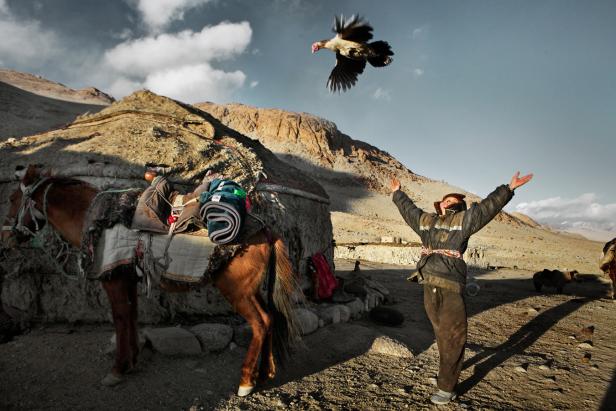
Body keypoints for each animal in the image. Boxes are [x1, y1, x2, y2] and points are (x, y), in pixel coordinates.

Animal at [0, 166, 300, 398]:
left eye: (13, 198)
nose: (6, 238)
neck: (95, 219)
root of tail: (266, 229)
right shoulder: (129, 280)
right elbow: (132, 316)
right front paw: (132, 360)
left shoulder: (113, 281)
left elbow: (121, 319)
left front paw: (117, 369)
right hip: (250, 290)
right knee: (270, 318)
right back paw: (266, 371)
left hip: (236, 290)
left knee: (260, 323)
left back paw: (246, 381)